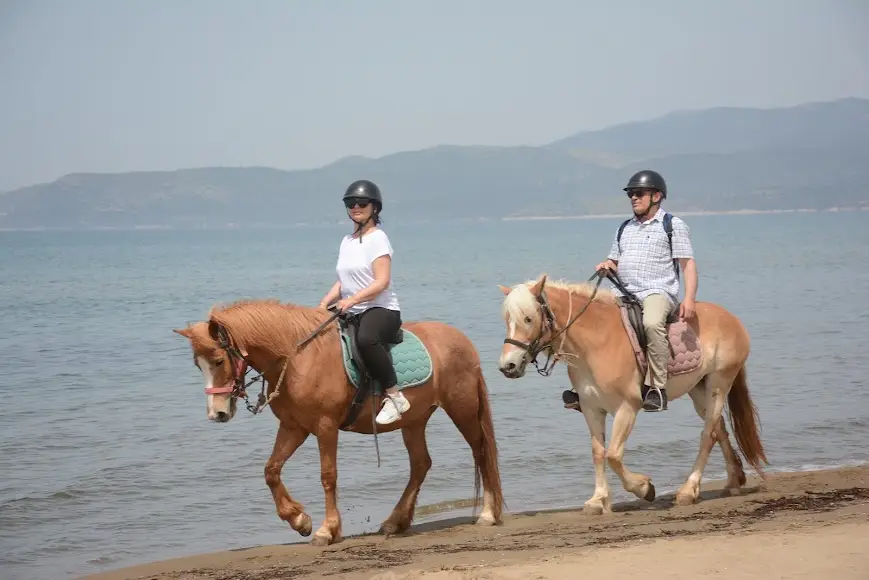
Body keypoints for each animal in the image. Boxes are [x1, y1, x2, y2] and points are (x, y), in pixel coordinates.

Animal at [173, 298, 504, 546]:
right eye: (197, 365)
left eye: (218, 360)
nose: (217, 413)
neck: (297, 357)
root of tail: (462, 341)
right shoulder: (294, 427)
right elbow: (271, 470)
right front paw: (299, 520)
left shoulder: (325, 426)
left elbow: (328, 476)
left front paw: (326, 529)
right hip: (415, 420)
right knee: (421, 464)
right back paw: (395, 521)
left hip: (461, 408)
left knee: (480, 451)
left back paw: (487, 514)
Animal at [496, 273, 768, 513]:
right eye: (507, 320)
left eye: (528, 319)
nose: (507, 366)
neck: (596, 343)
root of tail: (731, 318)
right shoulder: (592, 408)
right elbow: (598, 453)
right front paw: (598, 500)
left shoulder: (627, 407)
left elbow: (614, 455)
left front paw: (644, 488)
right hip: (699, 391)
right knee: (719, 428)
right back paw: (734, 481)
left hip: (719, 384)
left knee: (707, 435)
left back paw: (688, 491)